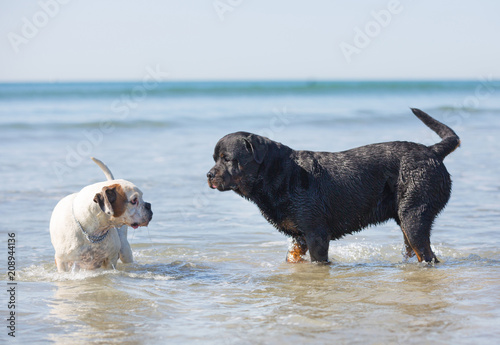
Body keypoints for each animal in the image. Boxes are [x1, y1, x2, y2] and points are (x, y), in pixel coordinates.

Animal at [207, 109, 460, 262]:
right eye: (214, 158)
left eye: (227, 158)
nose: (208, 175)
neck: (278, 174)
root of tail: (432, 151)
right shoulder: (299, 237)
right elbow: (292, 258)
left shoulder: (316, 233)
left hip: (414, 214)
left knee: (427, 255)